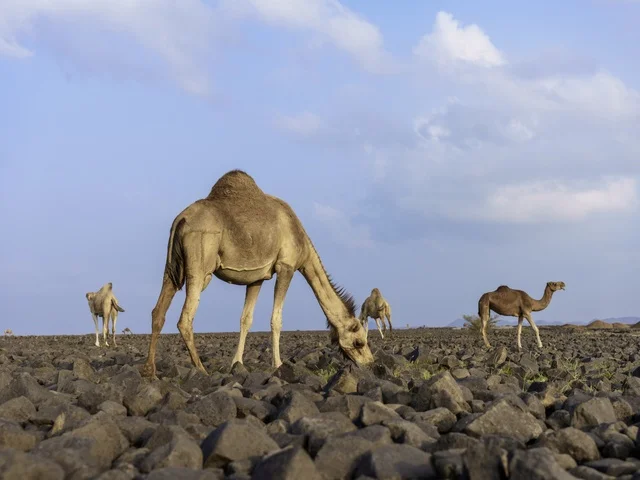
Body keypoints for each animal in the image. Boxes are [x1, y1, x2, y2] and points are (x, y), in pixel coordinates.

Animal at [141, 169, 374, 379]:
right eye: (359, 341)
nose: (370, 362)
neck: (304, 245)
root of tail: (181, 219)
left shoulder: (257, 278)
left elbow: (246, 318)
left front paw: (237, 363)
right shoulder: (286, 266)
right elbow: (276, 319)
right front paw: (278, 364)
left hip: (172, 268)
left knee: (158, 311)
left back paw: (150, 371)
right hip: (200, 266)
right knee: (185, 318)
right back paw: (201, 369)